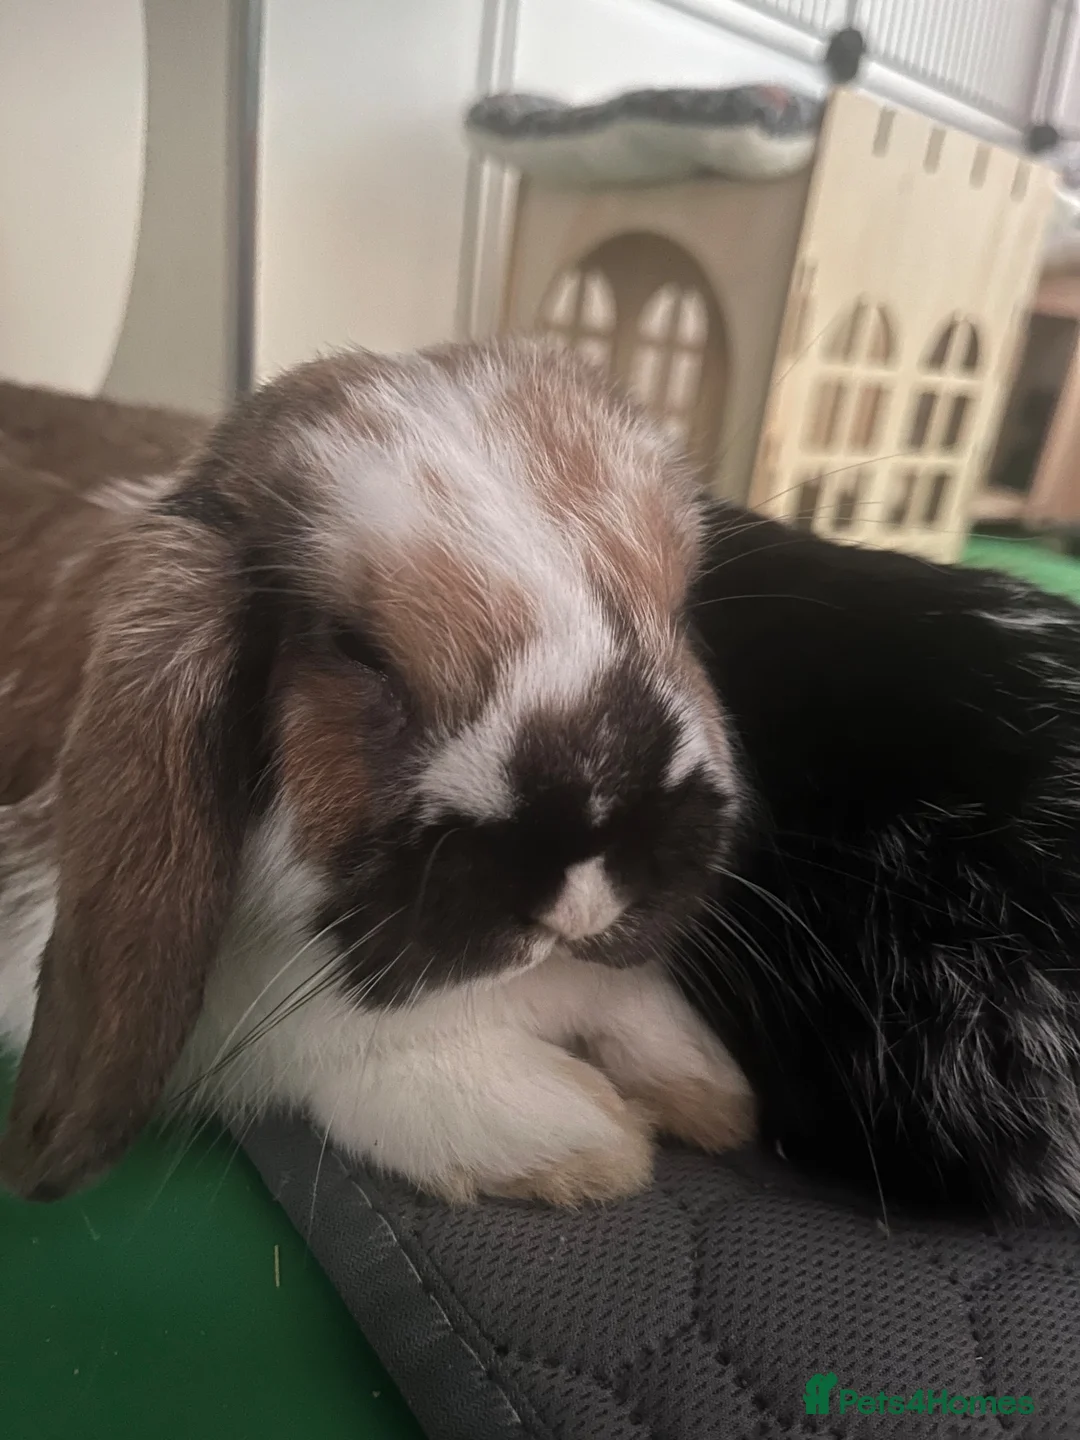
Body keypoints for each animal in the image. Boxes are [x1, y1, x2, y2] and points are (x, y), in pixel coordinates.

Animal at [0, 338, 755, 1205]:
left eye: (683, 608)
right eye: (357, 654)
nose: (587, 885)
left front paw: (708, 1086)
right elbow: (320, 1044)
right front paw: (578, 1134)